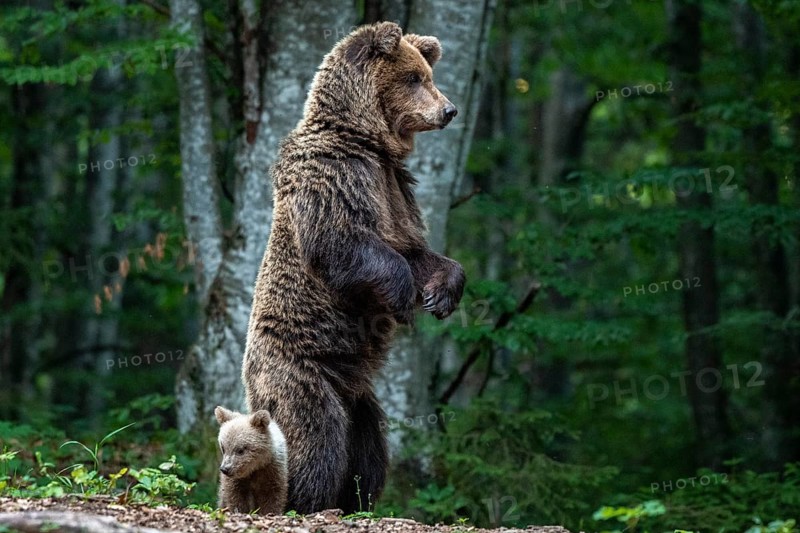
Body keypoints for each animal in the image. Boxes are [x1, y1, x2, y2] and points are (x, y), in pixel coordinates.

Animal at [242, 21, 465, 514]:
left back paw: (355, 498)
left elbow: (415, 250)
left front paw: (441, 293)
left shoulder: (394, 187)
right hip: (299, 370)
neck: (366, 139)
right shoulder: (337, 173)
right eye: (413, 78)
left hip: (358, 395)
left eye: (428, 74)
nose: (449, 109)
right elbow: (343, 243)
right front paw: (402, 300)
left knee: (368, 448)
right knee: (315, 434)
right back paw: (302, 498)